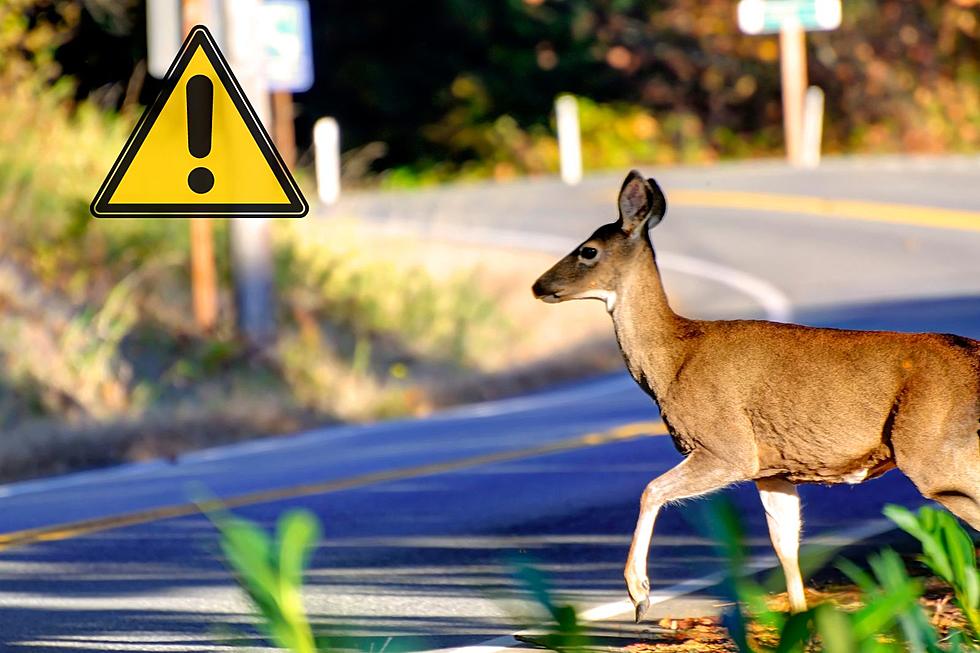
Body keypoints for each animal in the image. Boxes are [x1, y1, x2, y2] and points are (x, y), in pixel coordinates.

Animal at [532, 169, 980, 620]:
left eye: (588, 251)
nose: (538, 285)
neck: (673, 358)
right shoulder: (775, 468)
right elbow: (785, 544)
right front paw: (799, 618)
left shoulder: (726, 445)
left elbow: (651, 489)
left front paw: (639, 593)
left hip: (936, 454)